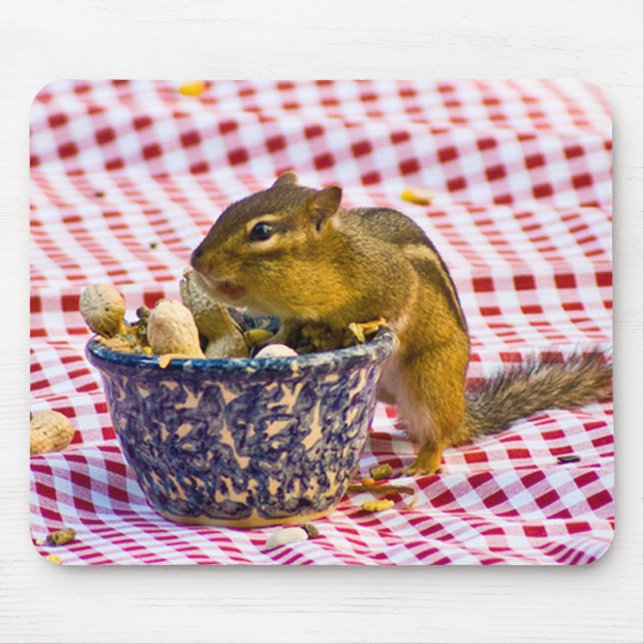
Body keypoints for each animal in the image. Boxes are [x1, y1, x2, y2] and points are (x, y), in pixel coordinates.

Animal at [191, 171, 612, 475]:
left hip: (430, 378)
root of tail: (462, 410)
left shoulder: (392, 280)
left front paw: (351, 329)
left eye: (261, 231)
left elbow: (394, 306)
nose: (197, 261)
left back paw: (422, 464)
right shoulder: (294, 313)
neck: (330, 259)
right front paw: (272, 337)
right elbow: (287, 328)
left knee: (439, 434)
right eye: (230, 208)